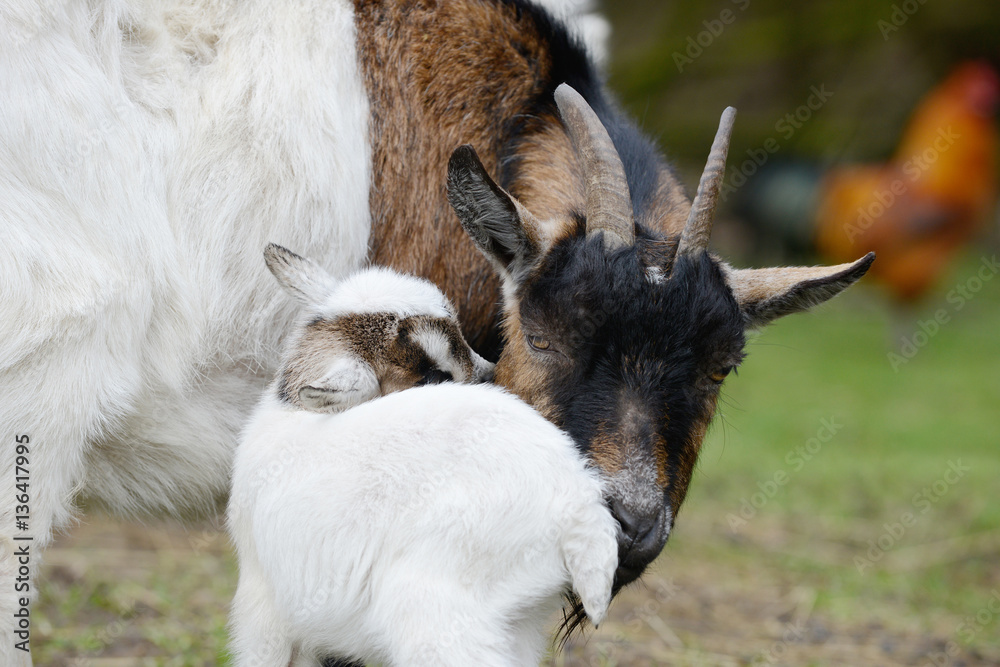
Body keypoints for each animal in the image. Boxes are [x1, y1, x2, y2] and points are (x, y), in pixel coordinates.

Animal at [228, 246, 615, 667]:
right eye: (433, 377)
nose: (493, 376)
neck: (292, 412)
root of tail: (577, 504)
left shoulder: (264, 605)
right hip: (521, 616)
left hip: (437, 612)